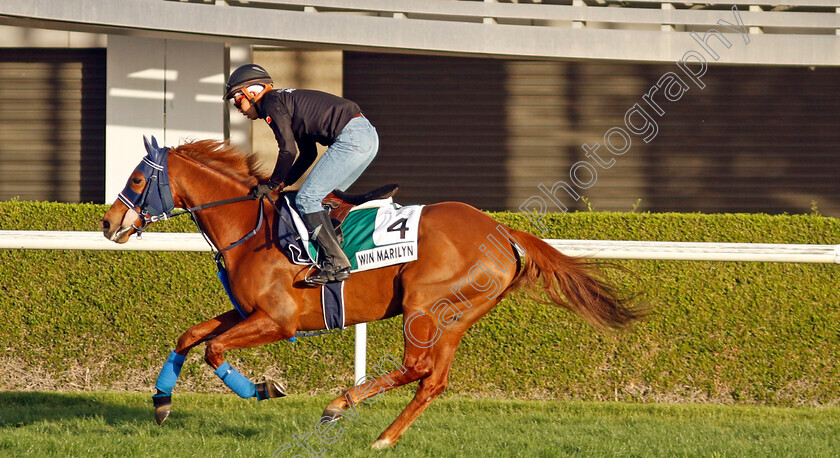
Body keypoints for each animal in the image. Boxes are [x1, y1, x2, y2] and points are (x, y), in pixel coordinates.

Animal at [97, 136, 644, 448]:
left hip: (423, 308)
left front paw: (265, 389)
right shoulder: (247, 311)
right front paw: (161, 400)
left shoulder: (280, 321)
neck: (250, 228)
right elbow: (189, 336)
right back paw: (383, 437)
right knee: (433, 381)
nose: (107, 223)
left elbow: (212, 350)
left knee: (417, 368)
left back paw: (340, 406)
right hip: (454, 318)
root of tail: (503, 231)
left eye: (138, 179)